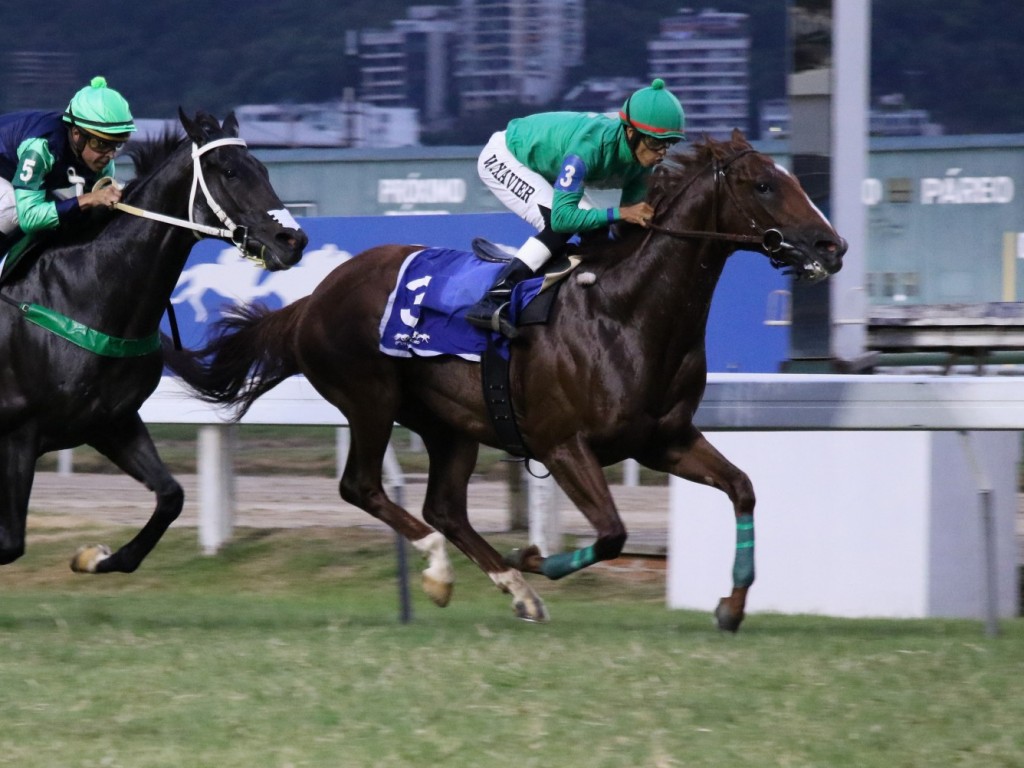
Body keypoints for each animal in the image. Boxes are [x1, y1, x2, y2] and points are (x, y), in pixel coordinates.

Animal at [0, 111, 305, 573]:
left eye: (264, 170)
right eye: (230, 172)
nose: (294, 241)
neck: (80, 294)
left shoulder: (110, 422)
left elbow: (171, 497)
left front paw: (94, 557)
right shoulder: (18, 434)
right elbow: (10, 543)